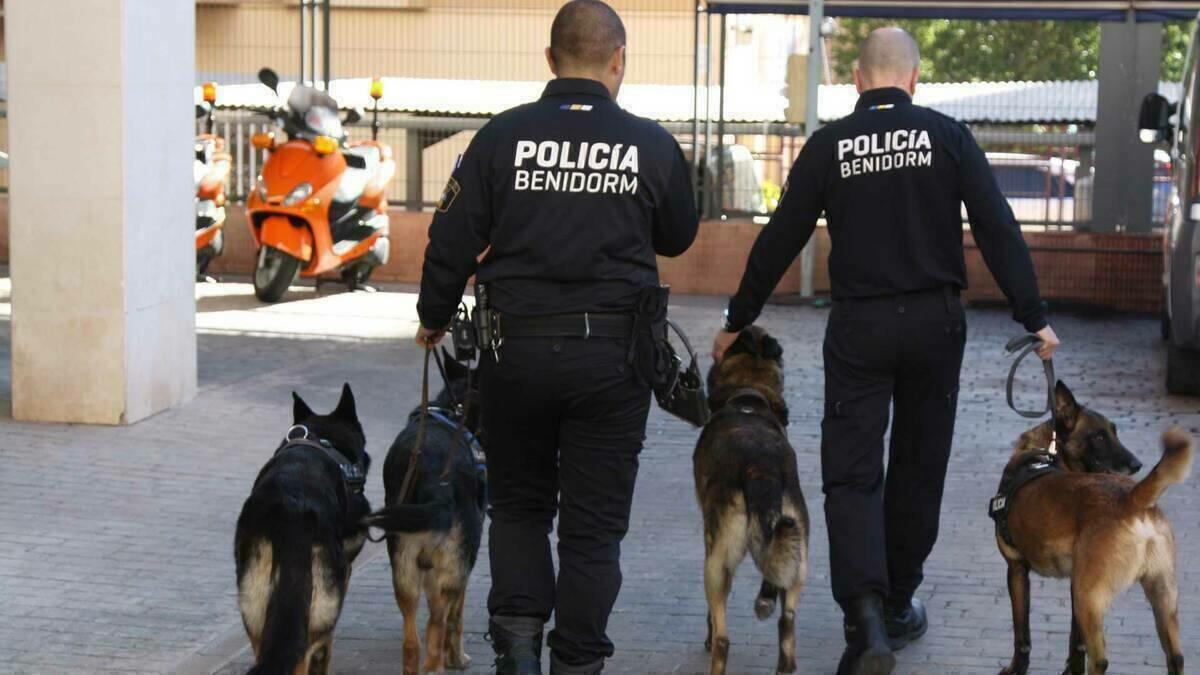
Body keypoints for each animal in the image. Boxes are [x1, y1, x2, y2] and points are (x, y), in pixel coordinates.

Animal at [362, 353, 484, 672]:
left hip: (403, 570)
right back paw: (439, 663)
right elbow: (458, 618)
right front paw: (458, 657)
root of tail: (434, 482)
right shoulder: (460, 570)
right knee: (436, 626)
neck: (453, 412)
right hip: (452, 570)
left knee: (412, 642)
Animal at [700, 326, 811, 672]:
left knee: (723, 640)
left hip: (717, 564)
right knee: (787, 620)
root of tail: (761, 471)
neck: (749, 393)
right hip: (798, 550)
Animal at [993, 379, 1190, 672]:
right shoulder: (1075, 583)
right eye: (1099, 437)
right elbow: (1076, 643)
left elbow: (1022, 633)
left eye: (1114, 434)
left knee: (1100, 660)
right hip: (1160, 593)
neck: (1045, 455)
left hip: (1088, 597)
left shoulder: (1016, 570)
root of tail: (1132, 499)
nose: (1136, 464)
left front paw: (1017, 668)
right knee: (1175, 657)